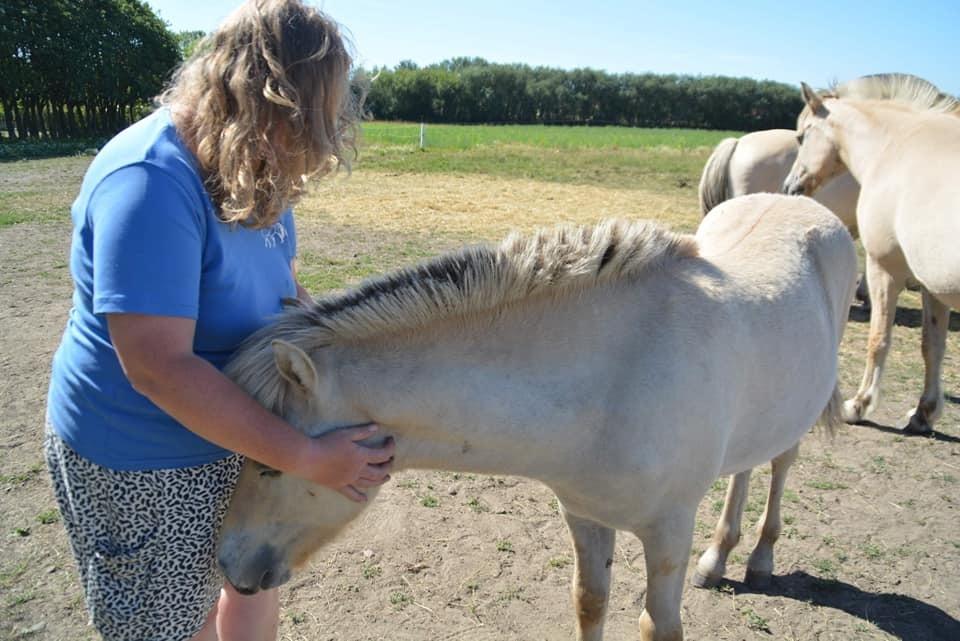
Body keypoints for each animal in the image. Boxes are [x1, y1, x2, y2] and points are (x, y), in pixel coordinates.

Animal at [218, 194, 856, 640]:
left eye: (270, 465)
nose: (229, 566)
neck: (616, 377)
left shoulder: (669, 532)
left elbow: (659, 626)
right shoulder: (584, 515)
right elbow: (589, 603)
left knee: (779, 465)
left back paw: (759, 561)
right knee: (745, 466)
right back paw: (717, 559)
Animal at [784, 75, 960, 436]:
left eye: (801, 136)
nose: (789, 187)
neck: (898, 146)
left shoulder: (883, 269)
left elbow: (878, 339)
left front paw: (858, 405)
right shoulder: (932, 286)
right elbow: (932, 345)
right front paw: (924, 412)